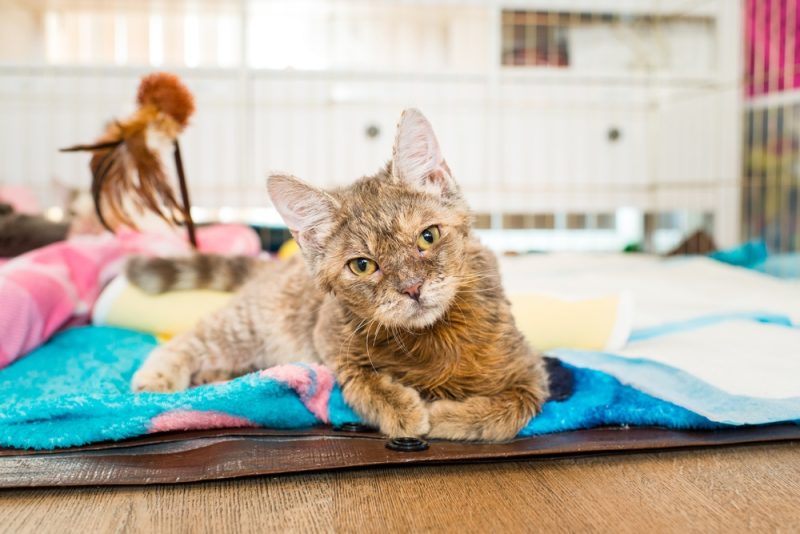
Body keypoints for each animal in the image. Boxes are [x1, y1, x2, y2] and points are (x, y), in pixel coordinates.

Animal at [126, 109, 552, 444]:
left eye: (428, 237)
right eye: (362, 265)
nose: (412, 288)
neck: (431, 336)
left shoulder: (530, 370)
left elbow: (512, 409)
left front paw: (448, 416)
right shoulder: (329, 335)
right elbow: (362, 378)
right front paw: (405, 410)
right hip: (248, 325)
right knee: (190, 340)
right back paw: (157, 379)